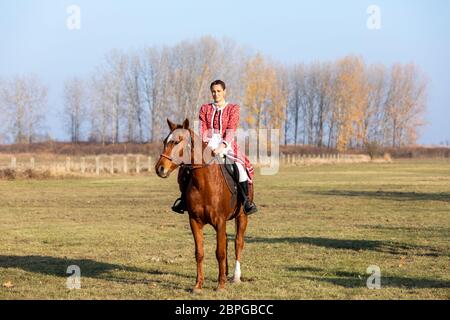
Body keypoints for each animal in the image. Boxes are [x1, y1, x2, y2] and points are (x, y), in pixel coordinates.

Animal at [156, 118, 251, 292]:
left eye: (177, 141)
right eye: (165, 141)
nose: (160, 168)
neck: (205, 183)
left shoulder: (220, 222)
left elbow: (220, 252)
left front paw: (221, 285)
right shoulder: (194, 221)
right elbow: (199, 252)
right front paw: (198, 285)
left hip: (242, 216)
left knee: (238, 243)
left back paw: (235, 277)